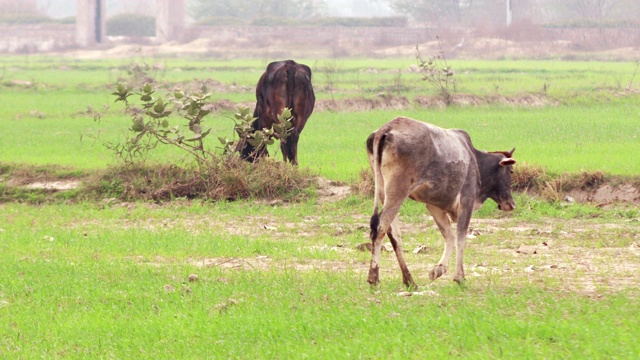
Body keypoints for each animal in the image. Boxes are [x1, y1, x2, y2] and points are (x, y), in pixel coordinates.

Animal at [364, 116, 516, 288]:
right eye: (511, 171)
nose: (511, 204)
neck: (476, 161)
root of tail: (386, 129)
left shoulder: (434, 207)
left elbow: (449, 237)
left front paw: (438, 270)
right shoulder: (466, 202)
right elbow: (460, 238)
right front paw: (459, 277)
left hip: (383, 192)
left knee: (394, 234)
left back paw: (409, 280)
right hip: (397, 193)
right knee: (380, 227)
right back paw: (374, 277)